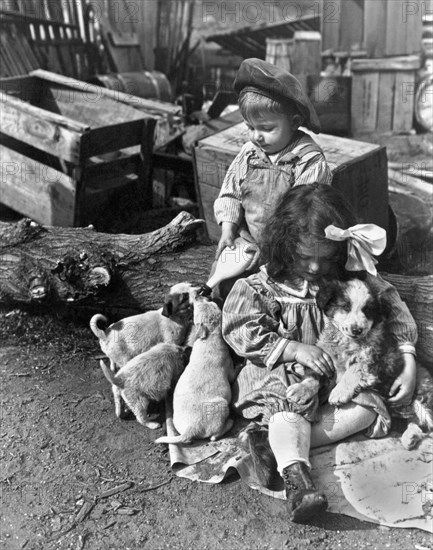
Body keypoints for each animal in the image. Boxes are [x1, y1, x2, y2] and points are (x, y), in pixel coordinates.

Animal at [91, 284, 199, 418]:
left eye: (191, 285)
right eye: (184, 297)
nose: (202, 289)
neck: (175, 318)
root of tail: (104, 334)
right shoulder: (171, 343)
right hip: (125, 359)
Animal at [155, 296, 236, 446]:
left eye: (210, 303)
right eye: (198, 307)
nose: (199, 296)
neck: (208, 338)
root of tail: (190, 429)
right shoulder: (229, 368)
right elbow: (234, 373)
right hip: (222, 405)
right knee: (214, 435)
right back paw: (230, 423)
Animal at [314, 278, 432, 450]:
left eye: (367, 310)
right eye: (345, 307)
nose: (357, 330)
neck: (349, 342)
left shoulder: (377, 359)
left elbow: (354, 368)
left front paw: (339, 392)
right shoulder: (329, 359)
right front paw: (301, 390)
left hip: (422, 396)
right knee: (412, 421)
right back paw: (409, 437)